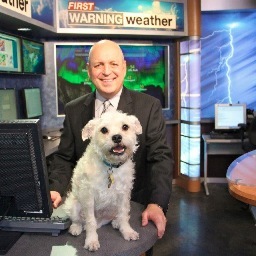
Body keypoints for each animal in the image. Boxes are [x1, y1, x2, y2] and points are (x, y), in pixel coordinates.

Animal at [62, 111, 142, 251]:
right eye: (104, 129)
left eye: (125, 127)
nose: (117, 137)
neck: (111, 166)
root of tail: (101, 220)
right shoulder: (88, 197)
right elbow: (90, 222)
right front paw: (91, 240)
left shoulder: (123, 195)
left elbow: (123, 215)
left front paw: (127, 231)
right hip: (74, 205)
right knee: (78, 220)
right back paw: (76, 227)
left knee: (117, 216)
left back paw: (116, 222)